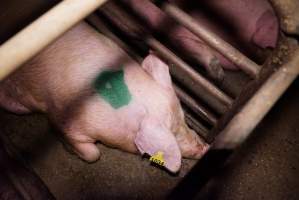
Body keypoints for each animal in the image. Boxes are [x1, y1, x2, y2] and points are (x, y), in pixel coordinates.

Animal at [0, 21, 209, 172]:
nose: (206, 148)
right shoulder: (63, 120)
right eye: (173, 133)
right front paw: (69, 148)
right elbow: (93, 154)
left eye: (184, 118)